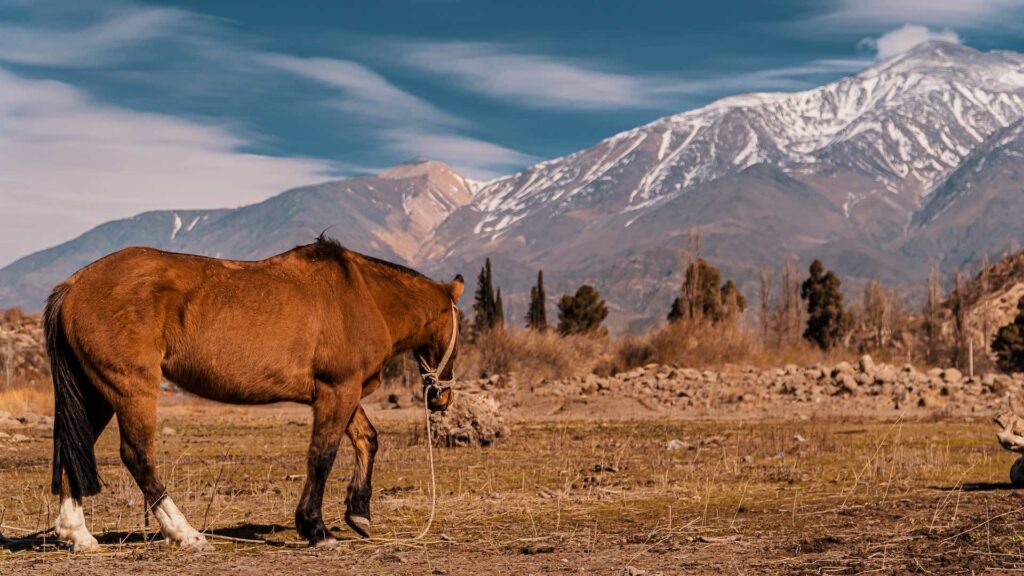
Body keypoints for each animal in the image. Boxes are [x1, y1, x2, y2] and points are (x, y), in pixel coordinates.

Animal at [46, 235, 462, 549]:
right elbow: (322, 456)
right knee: (138, 455)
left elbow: (366, 439)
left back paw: (77, 535)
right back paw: (185, 534)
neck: (363, 295)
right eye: (458, 325)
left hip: (97, 393)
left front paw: (358, 513)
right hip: (132, 389)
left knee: (72, 450)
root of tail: (74, 285)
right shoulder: (338, 390)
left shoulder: (345, 392)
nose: (441, 398)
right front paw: (315, 528)